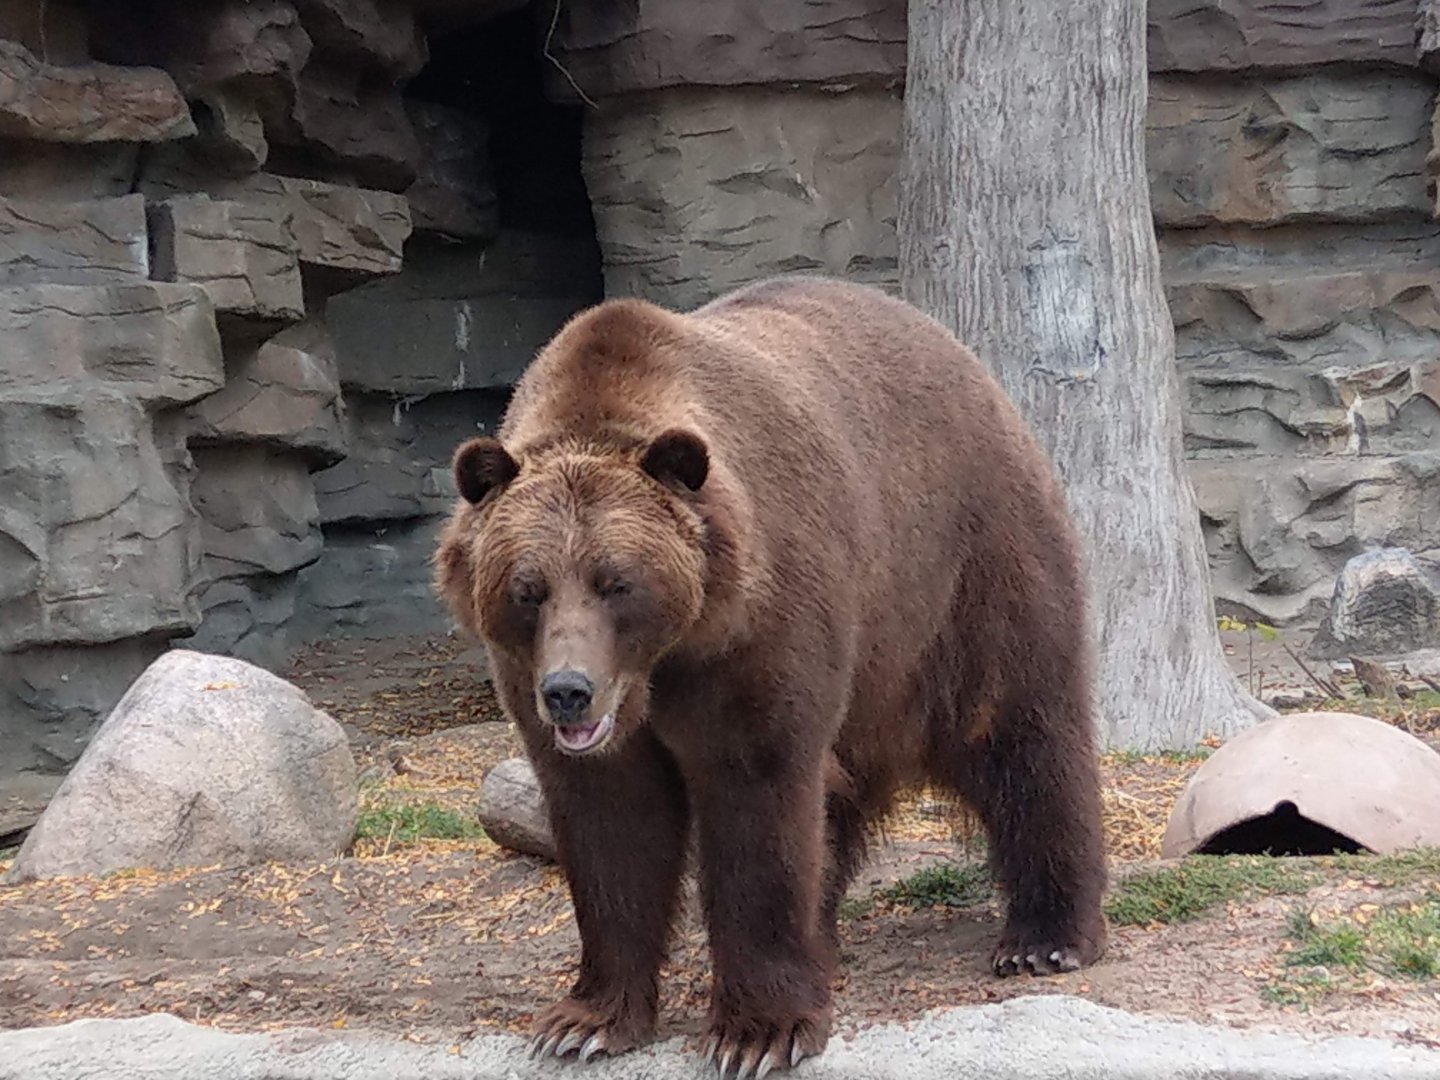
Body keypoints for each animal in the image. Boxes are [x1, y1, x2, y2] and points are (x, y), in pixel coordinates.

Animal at [435, 275, 1108, 1076]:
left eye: (617, 582)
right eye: (528, 589)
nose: (569, 691)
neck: (668, 661)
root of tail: (970, 364)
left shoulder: (757, 634)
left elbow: (757, 800)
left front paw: (757, 1031)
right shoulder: (548, 690)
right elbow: (610, 823)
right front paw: (585, 1020)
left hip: (964, 571)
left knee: (1021, 735)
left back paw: (1046, 936)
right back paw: (828, 938)